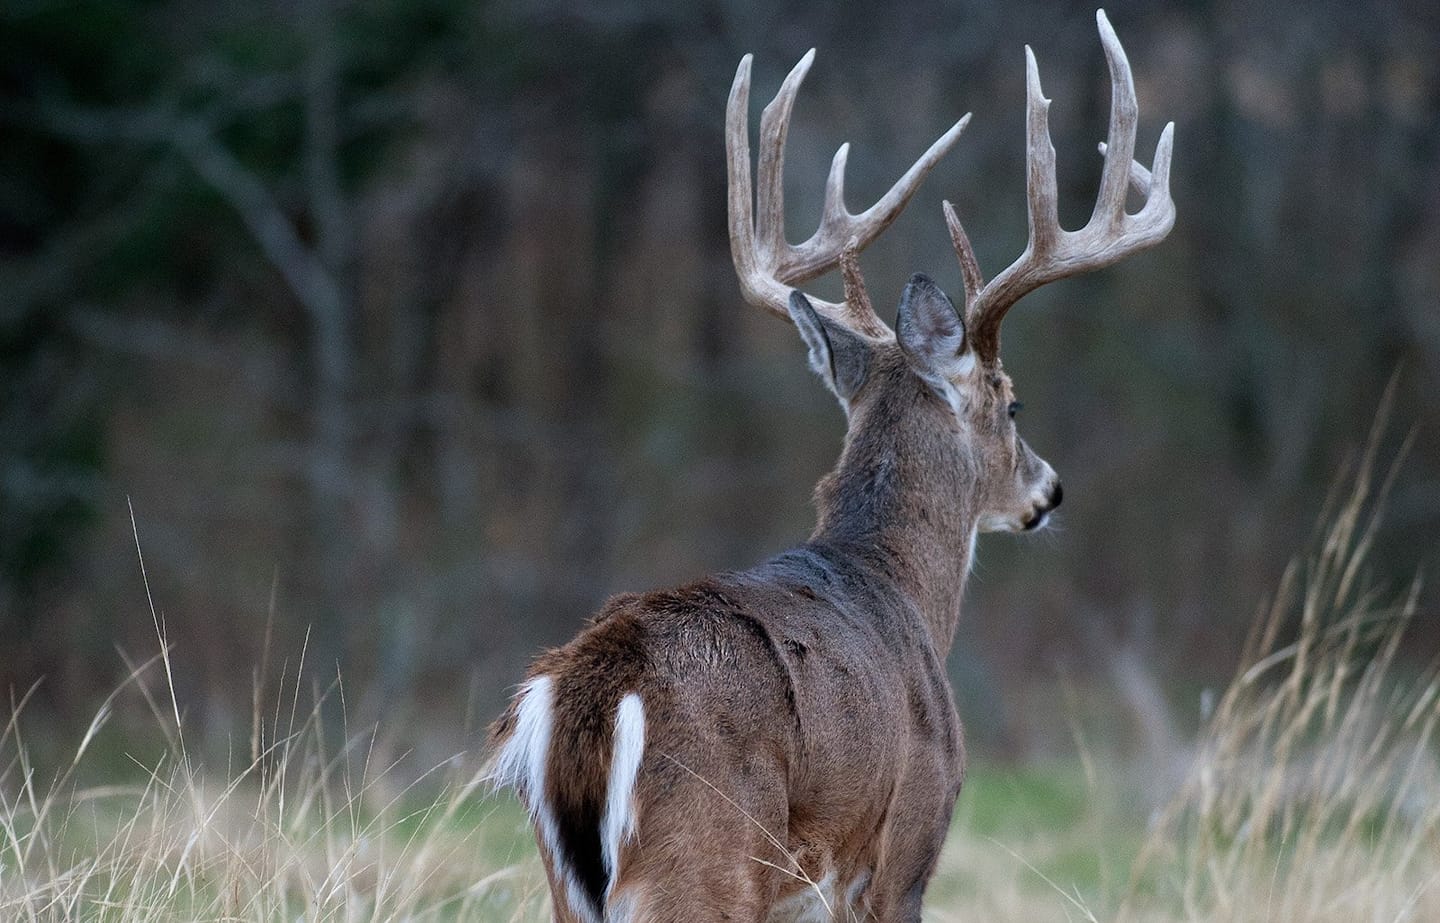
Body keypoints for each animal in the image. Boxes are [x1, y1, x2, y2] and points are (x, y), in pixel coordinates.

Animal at [488, 10, 1174, 922]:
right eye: (1012, 401)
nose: (1049, 488)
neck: (899, 589)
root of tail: (585, 700)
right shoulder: (906, 843)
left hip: (570, 883)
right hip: (702, 861)